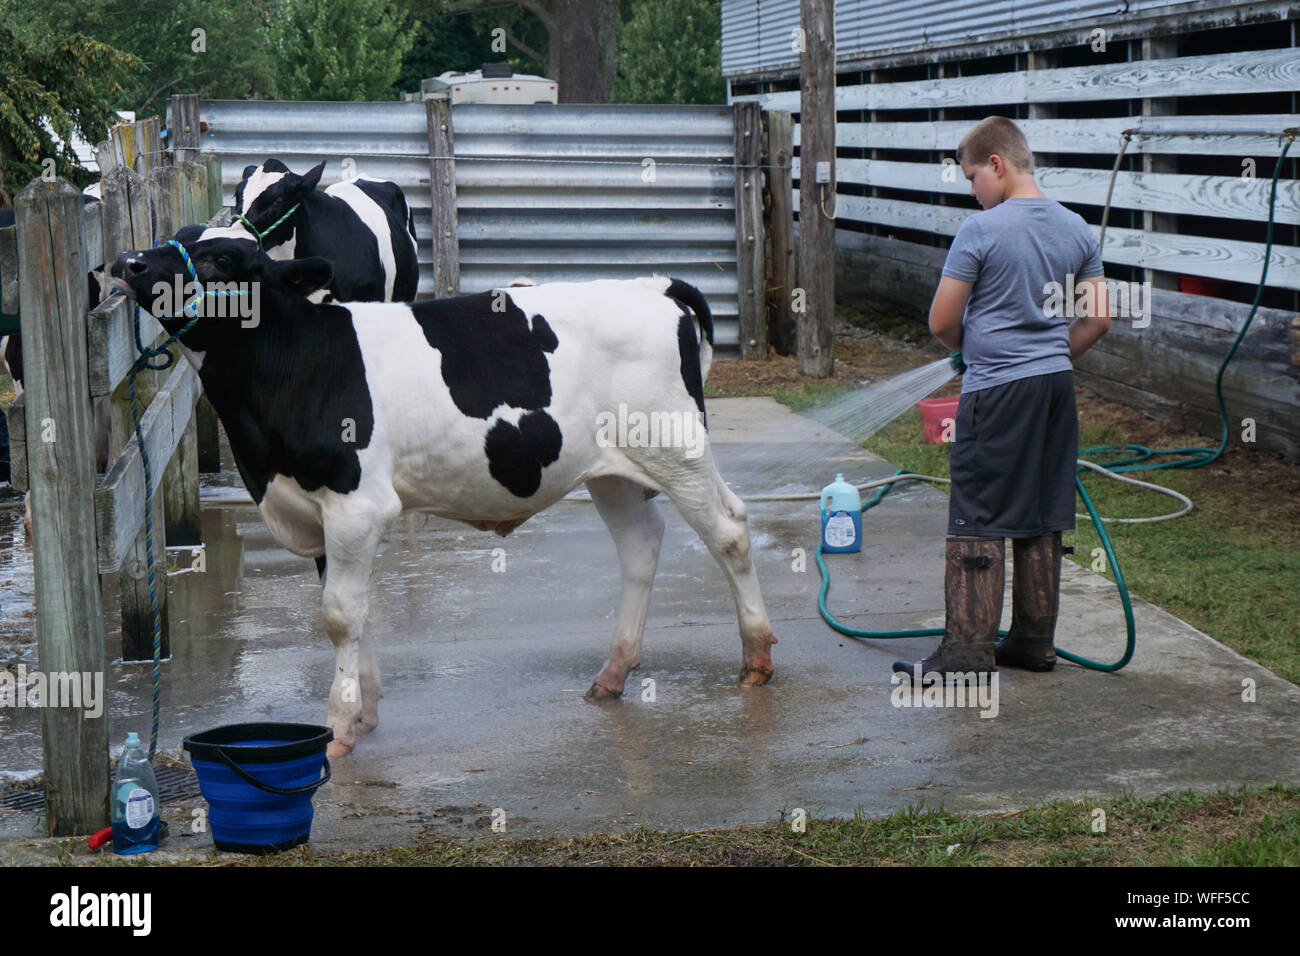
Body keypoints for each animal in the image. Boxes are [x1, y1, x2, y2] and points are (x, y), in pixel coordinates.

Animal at [111, 235, 769, 759]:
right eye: (179, 236)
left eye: (221, 258)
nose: (129, 262)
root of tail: (651, 286)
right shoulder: (318, 511)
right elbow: (352, 611)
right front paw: (367, 709)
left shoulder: (356, 504)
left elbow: (339, 616)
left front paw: (339, 725)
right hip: (611, 470)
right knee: (640, 546)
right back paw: (612, 673)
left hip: (676, 446)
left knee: (730, 529)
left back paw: (756, 660)